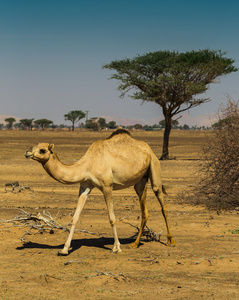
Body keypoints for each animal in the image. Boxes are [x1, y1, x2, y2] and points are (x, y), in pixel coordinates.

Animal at [25, 129, 175, 255]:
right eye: (34, 146)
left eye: (42, 150)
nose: (27, 153)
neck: (87, 165)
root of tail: (148, 149)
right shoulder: (85, 187)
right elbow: (75, 217)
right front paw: (64, 249)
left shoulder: (107, 186)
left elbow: (112, 218)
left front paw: (116, 247)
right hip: (141, 180)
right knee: (145, 211)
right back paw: (135, 244)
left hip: (154, 166)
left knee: (162, 203)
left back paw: (170, 241)